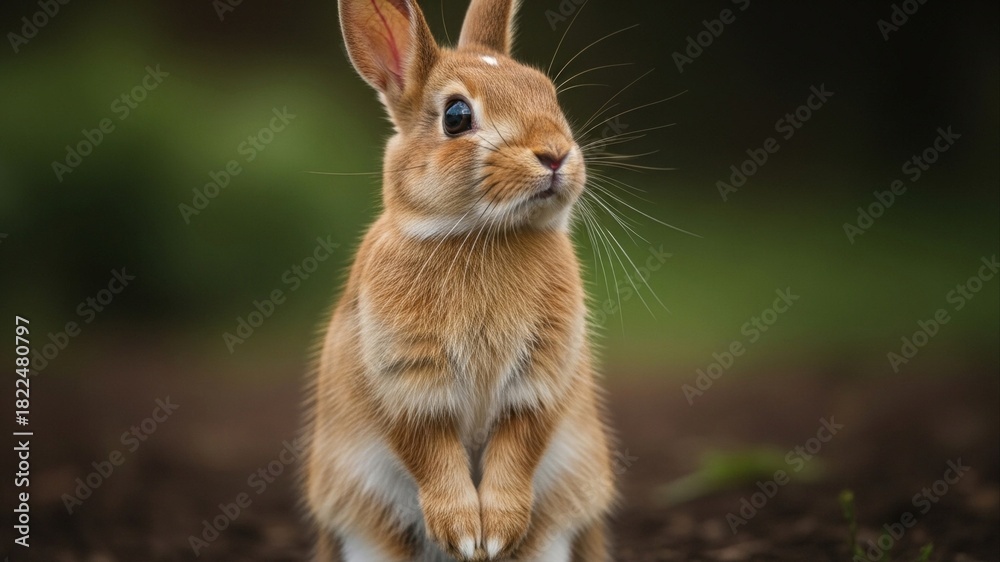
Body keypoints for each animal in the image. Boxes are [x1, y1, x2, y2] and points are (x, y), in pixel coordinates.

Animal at [304, 0, 616, 560]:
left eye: (548, 93)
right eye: (456, 116)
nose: (556, 154)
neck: (479, 233)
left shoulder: (541, 379)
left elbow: (520, 443)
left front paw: (496, 532)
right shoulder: (404, 383)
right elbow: (430, 451)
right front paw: (467, 534)